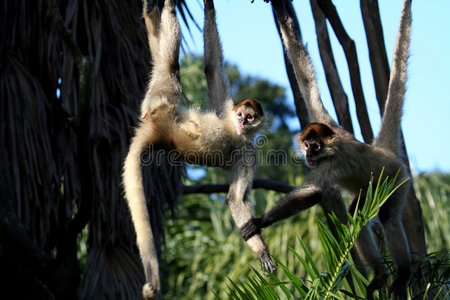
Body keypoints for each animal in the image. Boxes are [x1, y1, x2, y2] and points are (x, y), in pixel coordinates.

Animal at [123, 1, 278, 298]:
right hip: (162, 103)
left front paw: (261, 250)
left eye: (250, 118)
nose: (242, 121)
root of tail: (160, 134)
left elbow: (236, 199)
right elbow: (212, 67)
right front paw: (209, 7)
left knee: (167, 64)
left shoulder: (248, 151)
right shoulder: (229, 116)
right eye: (240, 114)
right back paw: (163, 7)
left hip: (159, 101)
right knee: (171, 65)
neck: (236, 131)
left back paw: (153, 11)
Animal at [241, 1, 414, 298]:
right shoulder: (325, 121)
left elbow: (314, 192)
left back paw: (400, 273)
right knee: (355, 216)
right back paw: (381, 273)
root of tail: (384, 152)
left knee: (385, 216)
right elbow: (306, 78)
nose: (309, 154)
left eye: (316, 146)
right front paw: (281, 11)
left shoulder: (332, 160)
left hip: (396, 179)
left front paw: (260, 221)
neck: (333, 145)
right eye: (306, 145)